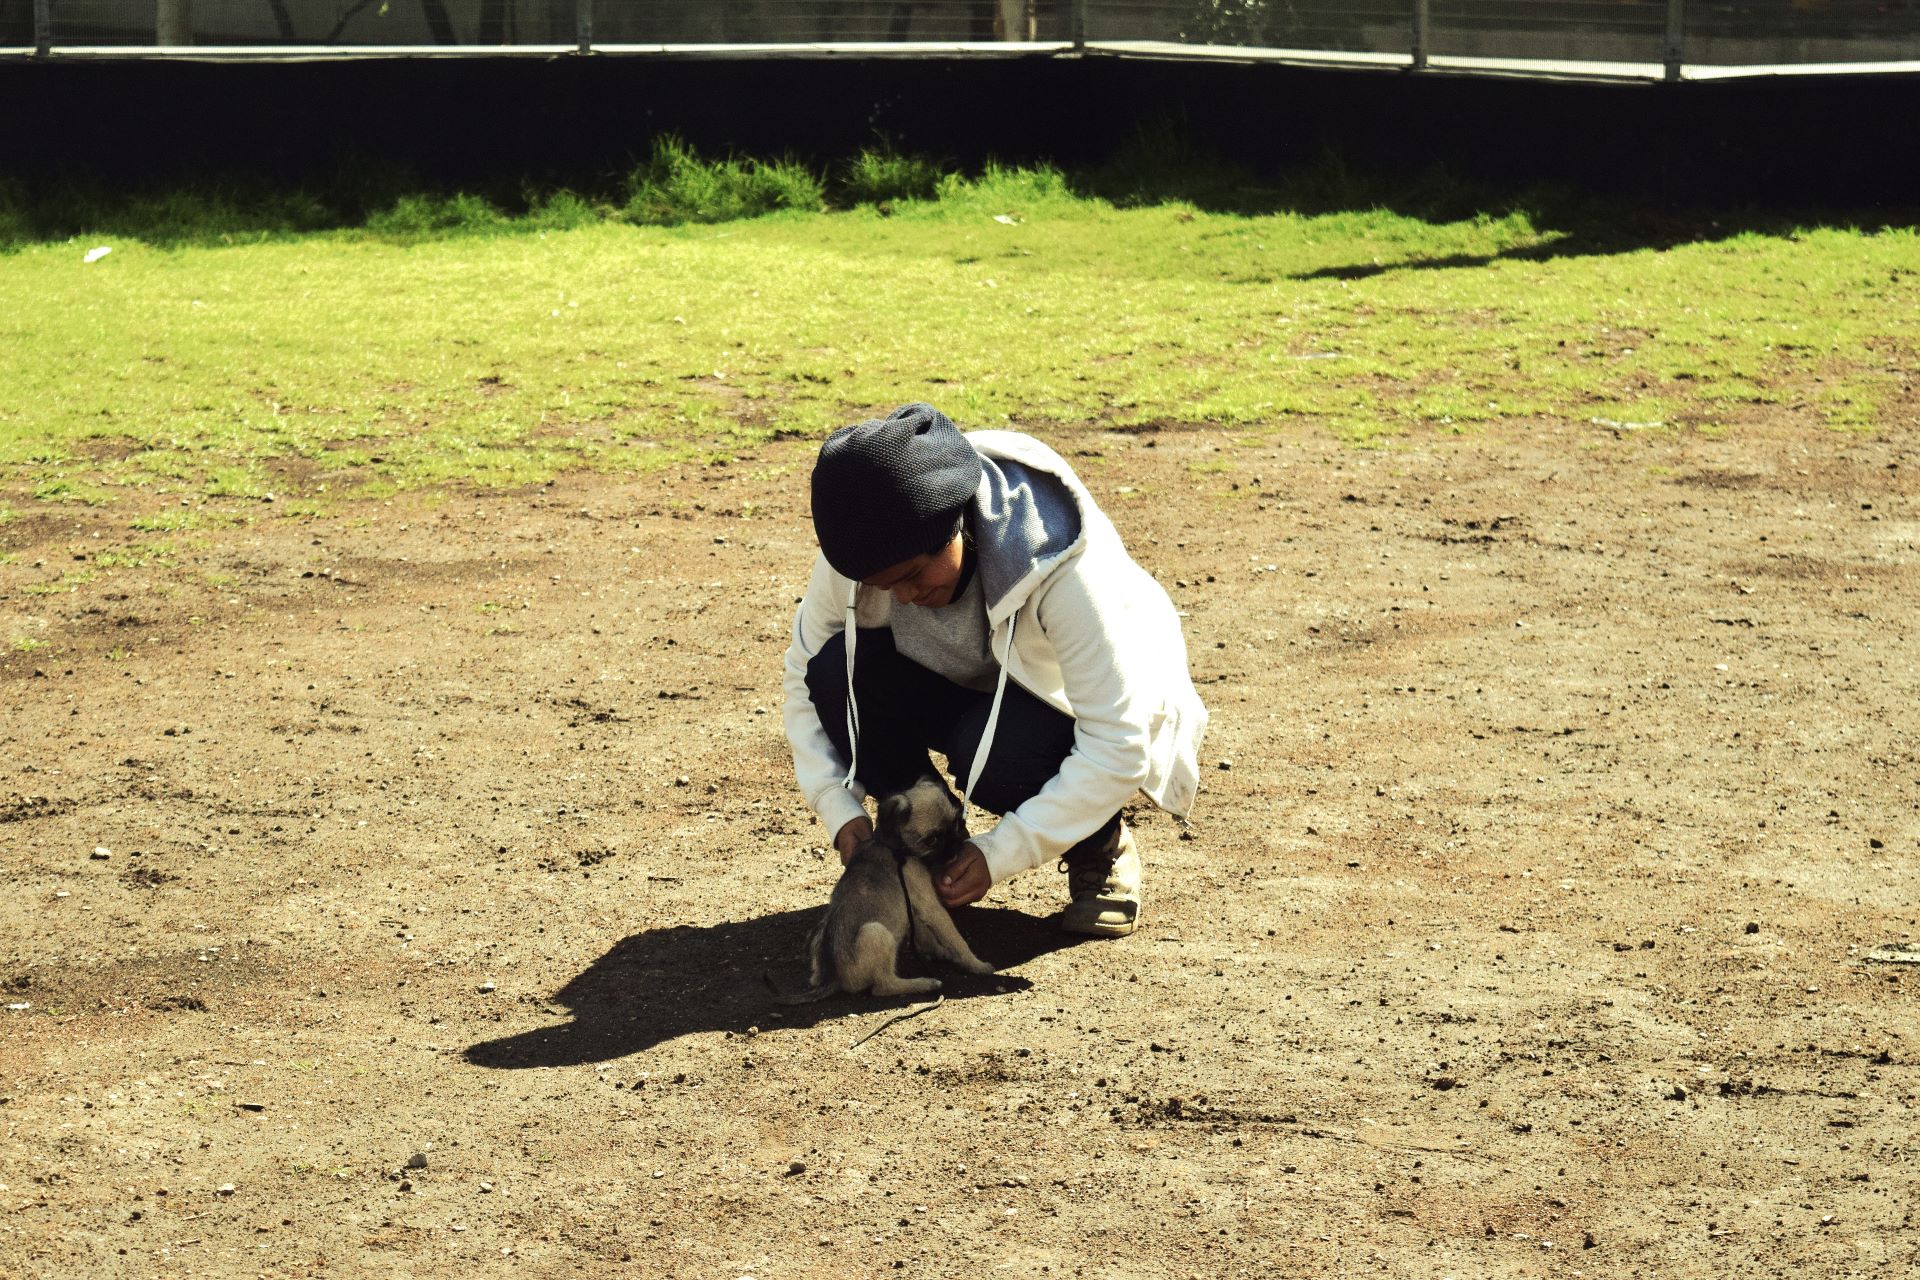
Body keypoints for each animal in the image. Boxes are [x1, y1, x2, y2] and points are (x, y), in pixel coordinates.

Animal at [771, 775, 998, 1005]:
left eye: (957, 823)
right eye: (932, 840)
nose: (955, 846)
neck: (895, 848)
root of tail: (832, 978)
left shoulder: (915, 908)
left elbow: (927, 936)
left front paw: (940, 952)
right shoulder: (931, 907)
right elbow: (956, 939)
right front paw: (976, 964)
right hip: (876, 932)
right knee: (883, 986)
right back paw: (924, 983)